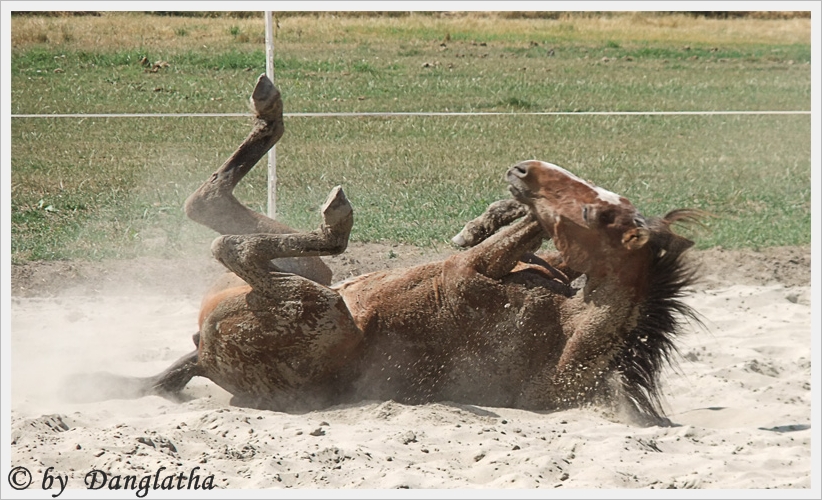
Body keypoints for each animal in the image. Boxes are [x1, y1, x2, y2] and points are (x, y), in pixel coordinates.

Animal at [100, 75, 700, 426]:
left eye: (602, 216)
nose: (523, 168)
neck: (567, 331)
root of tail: (204, 354)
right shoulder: (522, 264)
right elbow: (528, 231)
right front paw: (489, 215)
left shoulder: (474, 272)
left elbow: (516, 234)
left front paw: (502, 211)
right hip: (317, 277)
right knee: (210, 206)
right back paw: (269, 107)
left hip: (319, 305)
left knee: (231, 241)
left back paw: (334, 214)